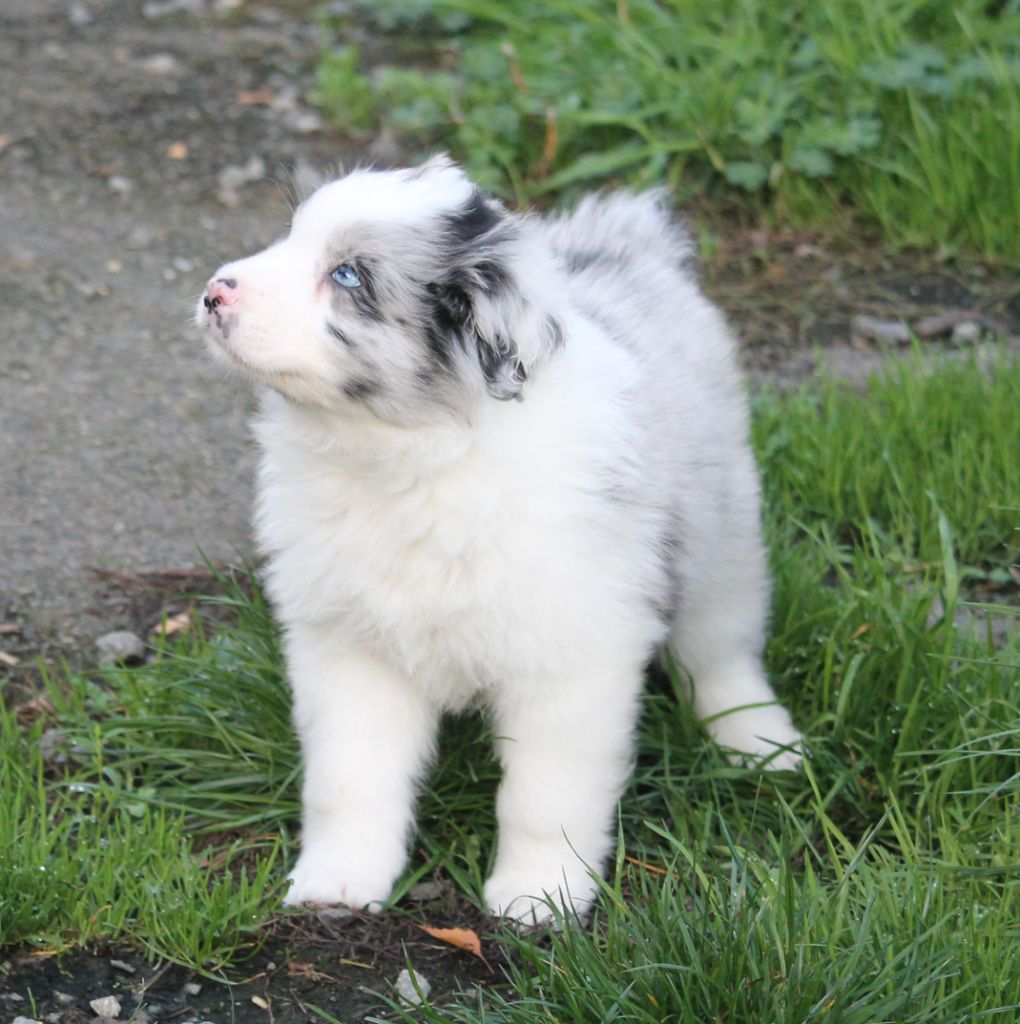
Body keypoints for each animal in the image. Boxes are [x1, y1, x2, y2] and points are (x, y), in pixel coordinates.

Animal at [196, 155, 801, 923]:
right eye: (290, 236)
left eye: (349, 276)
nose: (214, 292)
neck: (413, 460)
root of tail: (626, 246)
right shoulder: (347, 648)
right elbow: (349, 780)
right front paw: (338, 883)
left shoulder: (569, 660)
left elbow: (546, 795)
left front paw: (539, 895)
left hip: (722, 527)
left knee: (721, 646)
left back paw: (760, 741)